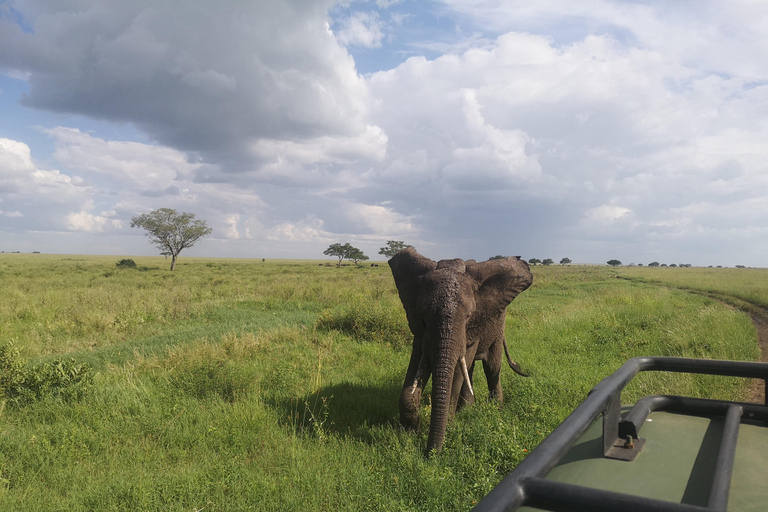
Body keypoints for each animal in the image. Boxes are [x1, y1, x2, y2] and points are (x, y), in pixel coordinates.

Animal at [388, 248, 532, 456]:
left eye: (469, 316)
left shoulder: (474, 325)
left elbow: (457, 371)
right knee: (470, 368)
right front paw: (411, 428)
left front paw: (449, 423)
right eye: (423, 315)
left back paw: (495, 409)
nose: (429, 454)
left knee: (491, 366)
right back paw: (466, 409)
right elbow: (416, 366)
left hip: (498, 326)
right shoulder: (421, 331)